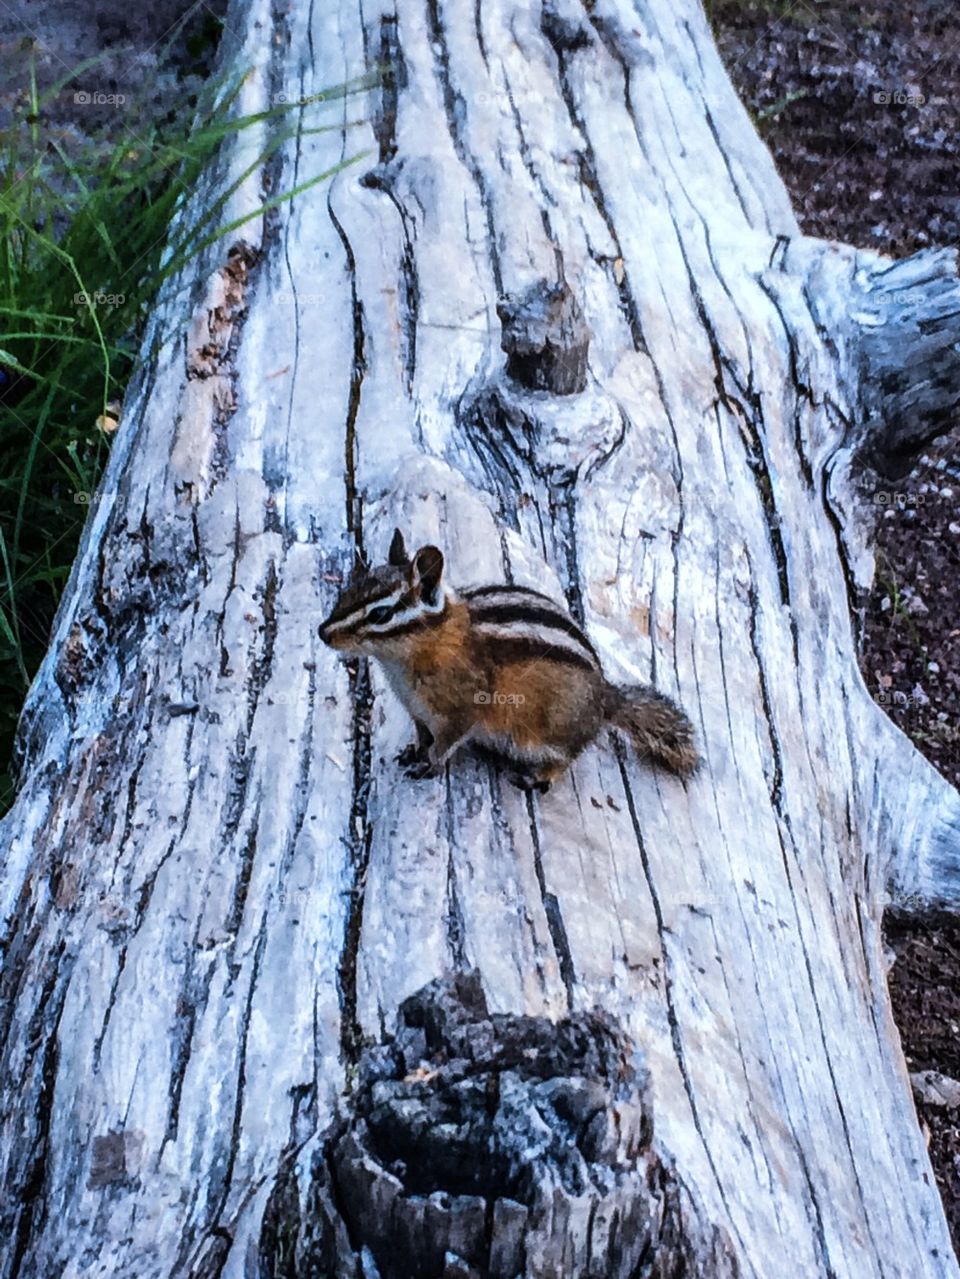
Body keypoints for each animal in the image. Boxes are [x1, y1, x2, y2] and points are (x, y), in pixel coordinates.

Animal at [319, 529, 700, 791]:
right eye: (350, 587)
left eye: (381, 614)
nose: (323, 633)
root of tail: (605, 698)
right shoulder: (417, 710)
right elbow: (423, 736)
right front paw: (414, 751)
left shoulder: (462, 710)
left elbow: (445, 744)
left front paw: (430, 765)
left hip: (547, 732)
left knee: (568, 756)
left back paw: (539, 778)